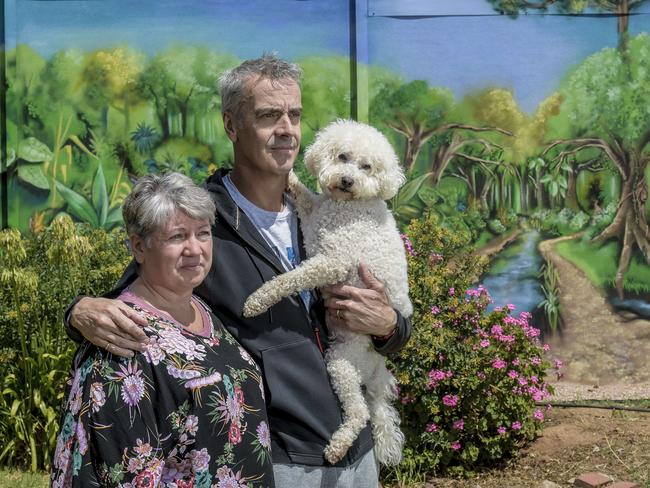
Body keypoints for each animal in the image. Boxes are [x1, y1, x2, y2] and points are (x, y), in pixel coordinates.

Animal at [243, 118, 410, 466]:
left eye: (367, 166)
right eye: (343, 156)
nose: (347, 180)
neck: (346, 204)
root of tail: (376, 370)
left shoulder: (332, 262)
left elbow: (291, 278)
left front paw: (258, 300)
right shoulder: (312, 213)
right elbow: (304, 194)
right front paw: (290, 175)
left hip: (342, 362)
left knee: (359, 413)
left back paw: (338, 446)